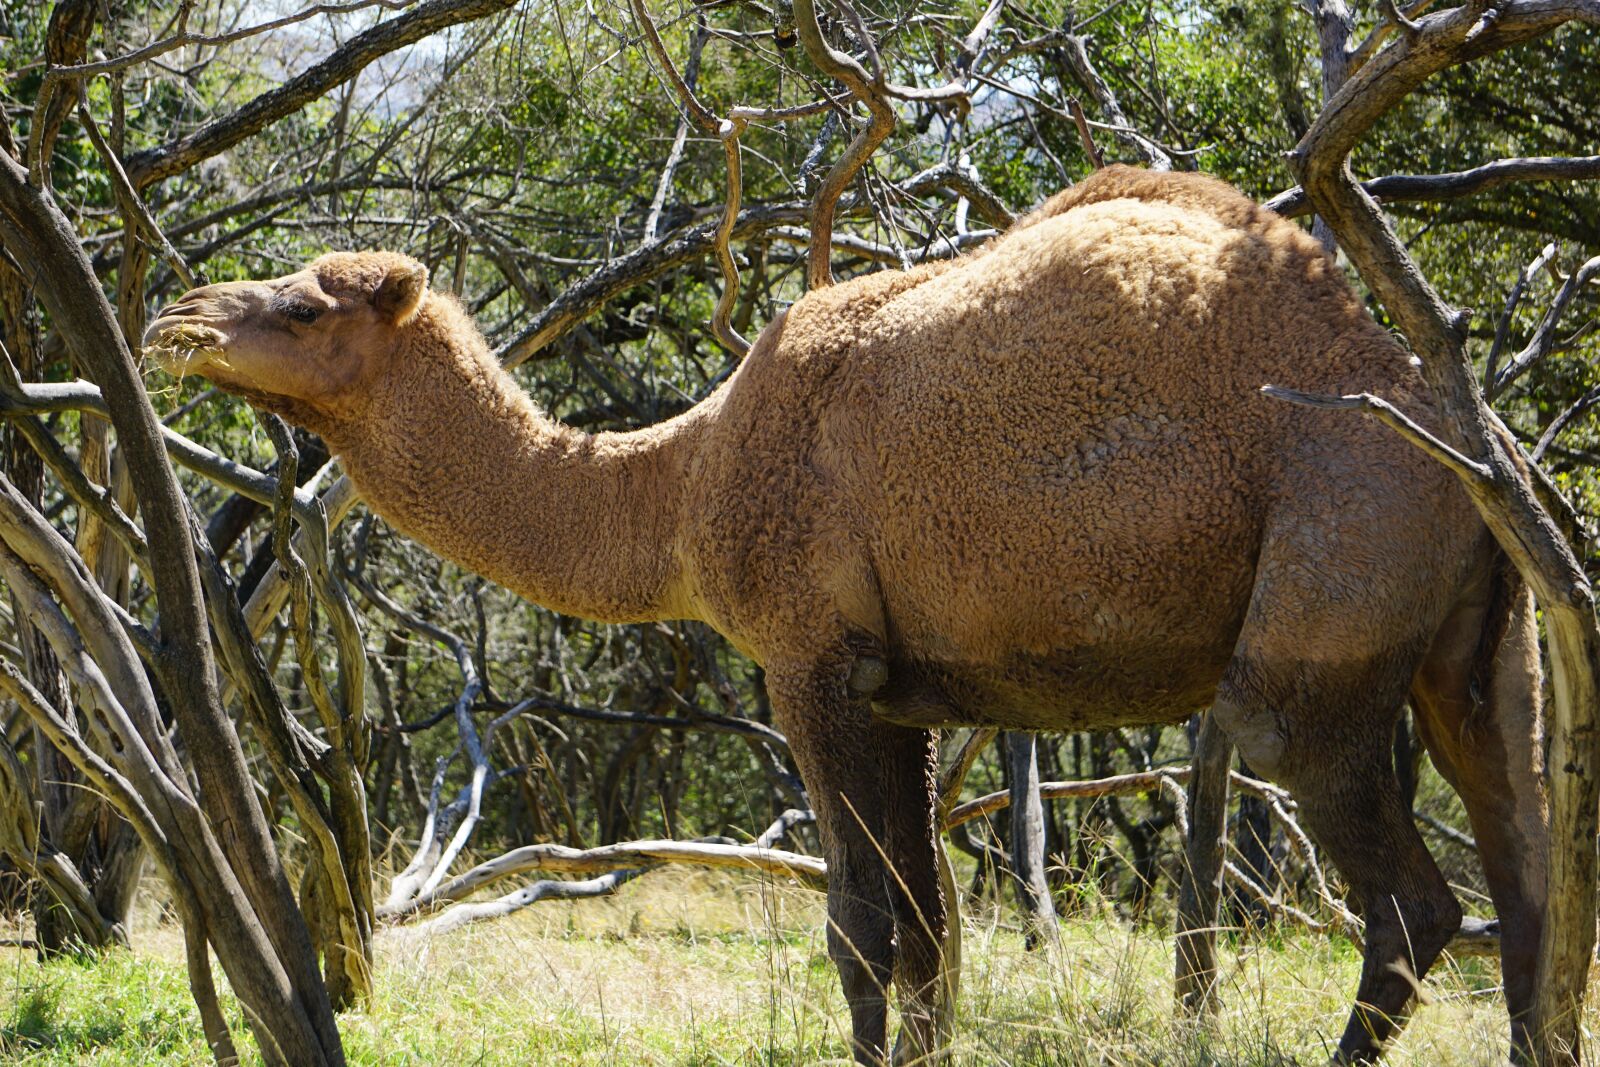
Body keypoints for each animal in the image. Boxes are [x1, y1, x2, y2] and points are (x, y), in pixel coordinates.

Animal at [145, 167, 1545, 1064]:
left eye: (304, 303)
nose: (177, 316)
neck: (683, 479)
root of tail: (1461, 429)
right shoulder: (908, 689)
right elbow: (931, 928)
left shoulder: (809, 658)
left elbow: (862, 929)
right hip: (1478, 628)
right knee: (1525, 860)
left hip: (1340, 540)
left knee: (1394, 884)